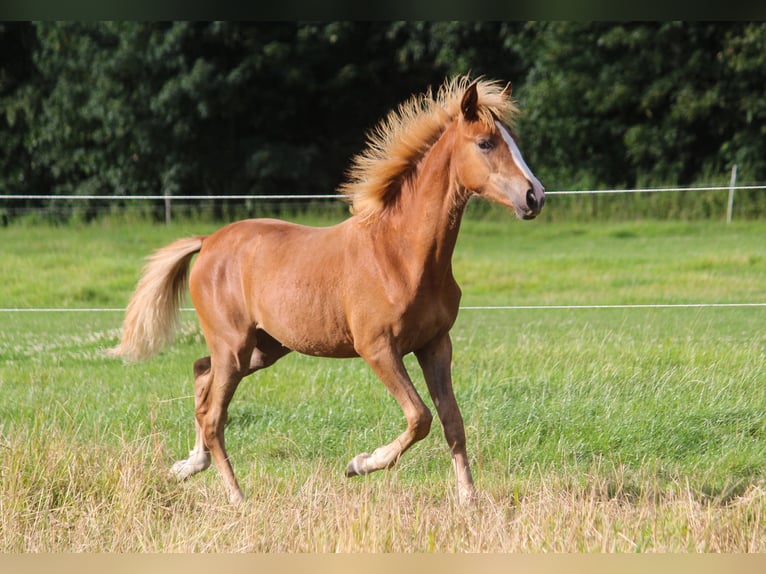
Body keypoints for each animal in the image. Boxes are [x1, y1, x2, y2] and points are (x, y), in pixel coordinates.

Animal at [111, 76, 548, 504]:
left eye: (514, 141)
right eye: (485, 143)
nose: (535, 196)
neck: (400, 253)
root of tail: (208, 242)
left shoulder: (436, 344)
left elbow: (452, 421)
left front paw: (469, 499)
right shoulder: (378, 348)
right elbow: (420, 417)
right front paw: (361, 463)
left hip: (263, 348)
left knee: (202, 378)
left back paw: (187, 466)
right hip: (234, 347)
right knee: (215, 413)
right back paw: (236, 495)